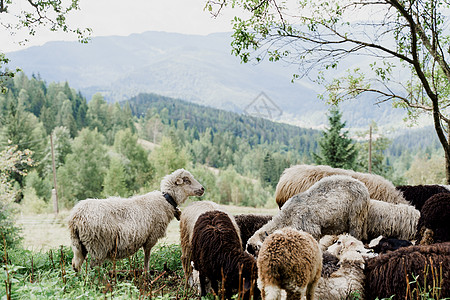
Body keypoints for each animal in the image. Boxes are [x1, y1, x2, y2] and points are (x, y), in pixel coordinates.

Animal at [68, 169, 204, 272]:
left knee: (76, 264)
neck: (166, 200)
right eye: (186, 180)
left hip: (79, 245)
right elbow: (147, 256)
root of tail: (76, 216)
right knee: (93, 268)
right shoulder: (151, 236)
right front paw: (146, 274)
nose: (202, 188)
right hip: (98, 245)